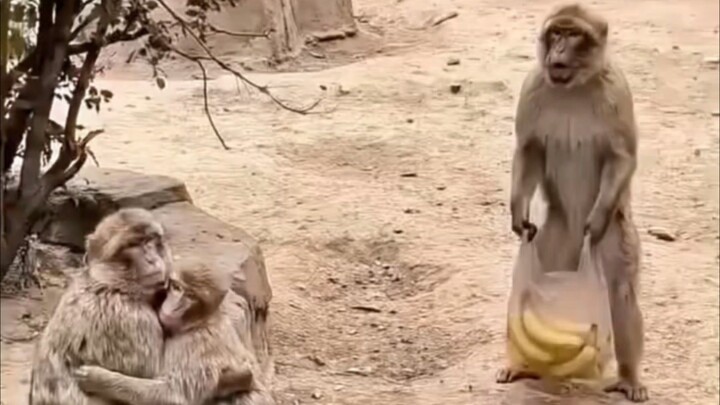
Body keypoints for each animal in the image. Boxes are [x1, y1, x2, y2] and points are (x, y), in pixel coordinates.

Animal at [72, 258, 275, 405]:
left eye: (190, 297)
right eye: (177, 288)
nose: (175, 306)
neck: (198, 322)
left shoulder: (193, 344)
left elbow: (174, 396)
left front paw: (99, 379)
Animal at [497, 3, 648, 403]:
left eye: (575, 34)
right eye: (556, 33)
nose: (559, 50)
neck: (576, 86)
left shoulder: (616, 88)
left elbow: (622, 157)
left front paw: (595, 221)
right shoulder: (534, 83)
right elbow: (529, 147)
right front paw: (518, 213)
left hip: (614, 236)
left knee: (621, 292)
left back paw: (628, 377)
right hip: (554, 237)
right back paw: (520, 363)